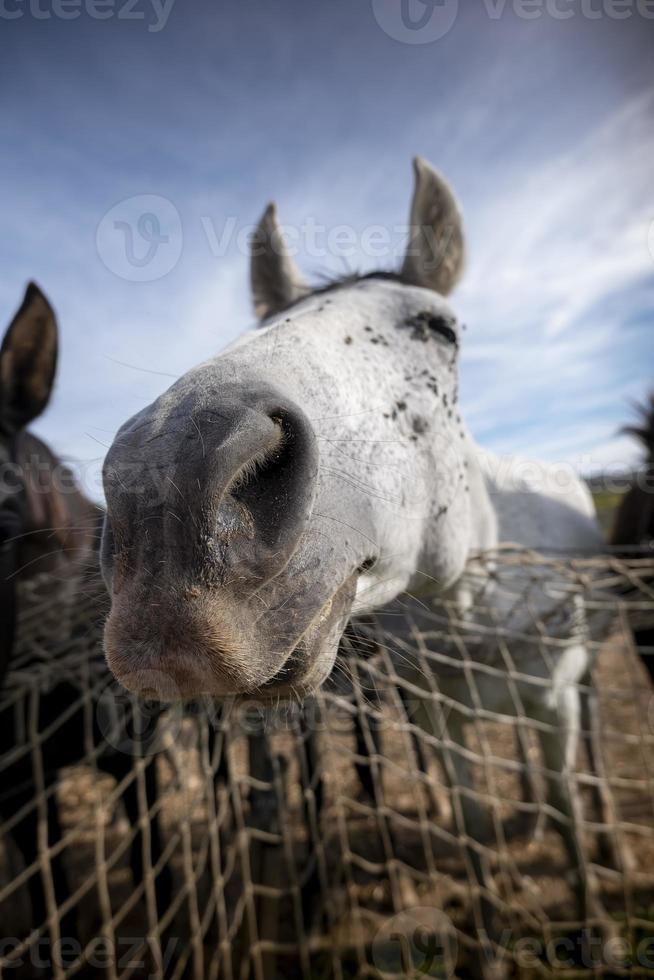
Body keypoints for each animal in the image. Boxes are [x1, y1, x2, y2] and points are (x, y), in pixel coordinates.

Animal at [101, 157, 620, 976]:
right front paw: (489, 943)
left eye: (441, 330)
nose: (166, 492)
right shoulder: (443, 717)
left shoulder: (557, 700)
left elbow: (568, 800)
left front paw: (594, 922)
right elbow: (474, 822)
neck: (475, 600)